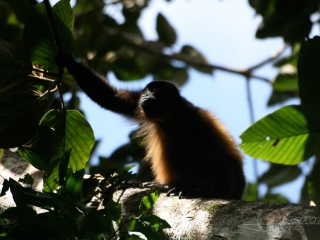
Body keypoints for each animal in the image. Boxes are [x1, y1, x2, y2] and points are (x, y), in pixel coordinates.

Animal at [62, 55, 245, 199]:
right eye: (144, 92)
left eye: (155, 90)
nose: (145, 96)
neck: (171, 117)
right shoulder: (139, 106)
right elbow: (112, 97)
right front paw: (67, 60)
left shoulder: (194, 118)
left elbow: (211, 153)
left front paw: (201, 187)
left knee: (222, 160)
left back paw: (205, 189)